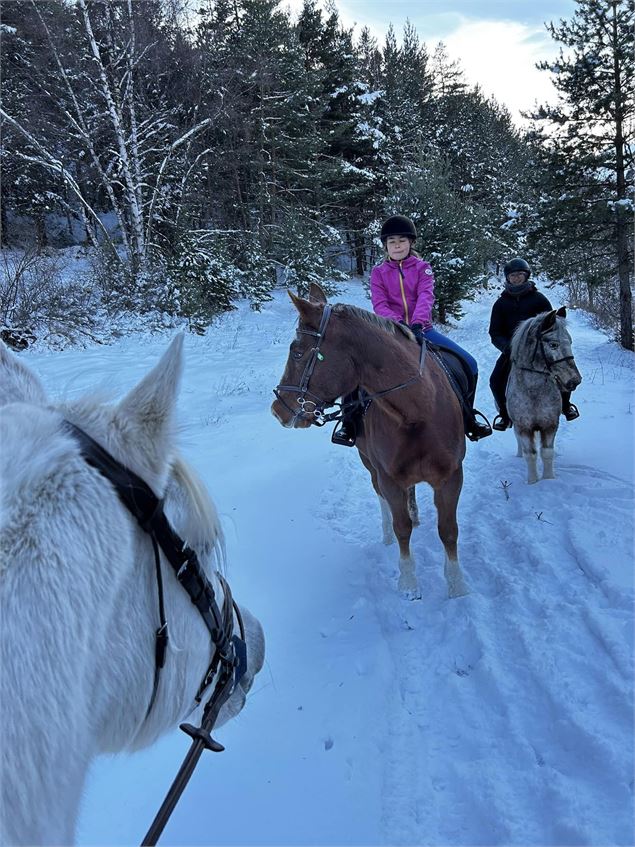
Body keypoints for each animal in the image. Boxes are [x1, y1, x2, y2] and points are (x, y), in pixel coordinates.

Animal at [270, 286, 470, 604]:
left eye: (298, 352)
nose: (278, 410)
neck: (418, 412)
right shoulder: (389, 477)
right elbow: (402, 528)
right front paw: (409, 584)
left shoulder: (451, 476)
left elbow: (448, 530)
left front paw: (457, 586)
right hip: (369, 463)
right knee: (381, 498)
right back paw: (387, 533)